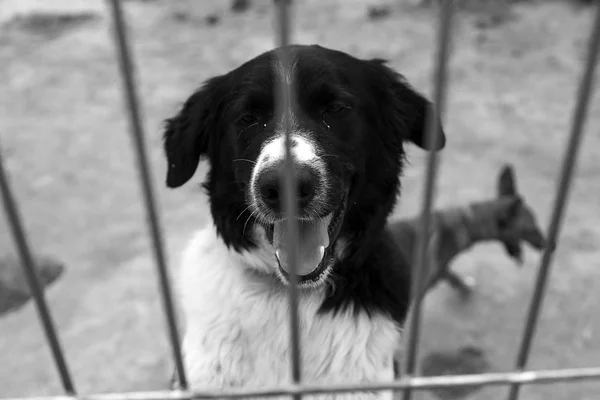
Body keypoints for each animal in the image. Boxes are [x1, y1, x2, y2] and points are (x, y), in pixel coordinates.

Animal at [390, 163, 548, 300]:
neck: (465, 223)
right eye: (531, 229)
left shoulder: (438, 271)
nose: (548, 245)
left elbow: (450, 275)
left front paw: (463, 287)